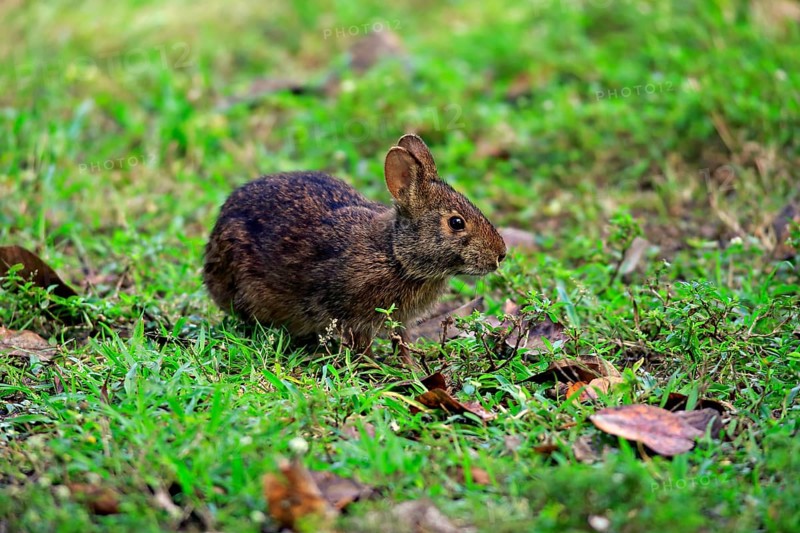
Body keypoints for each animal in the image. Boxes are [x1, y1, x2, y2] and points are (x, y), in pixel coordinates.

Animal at [203, 134, 506, 362]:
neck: (395, 255)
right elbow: (362, 346)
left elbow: (402, 342)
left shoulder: (399, 321)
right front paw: (376, 370)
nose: (501, 255)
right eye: (456, 223)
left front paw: (410, 369)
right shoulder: (352, 315)